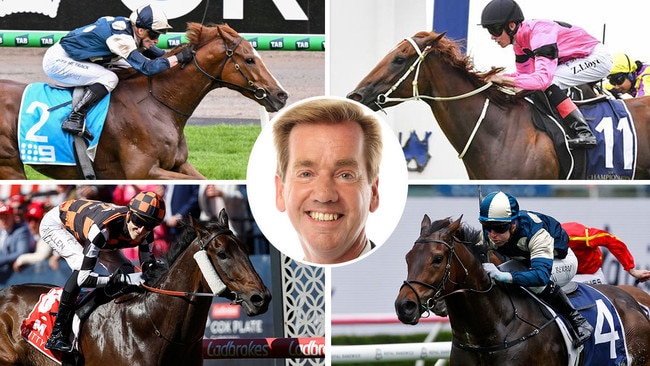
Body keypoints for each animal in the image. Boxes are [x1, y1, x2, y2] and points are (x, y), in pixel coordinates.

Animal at [0, 22, 286, 179]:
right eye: (249, 59)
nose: (281, 95)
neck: (157, 104)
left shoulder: (179, 165)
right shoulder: (143, 171)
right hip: (10, 166)